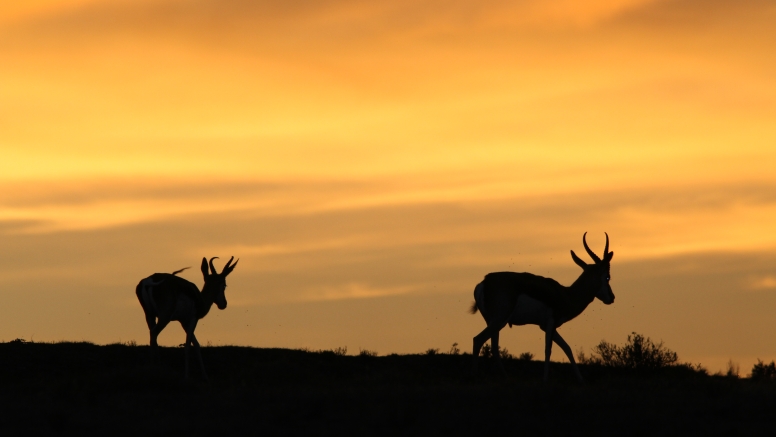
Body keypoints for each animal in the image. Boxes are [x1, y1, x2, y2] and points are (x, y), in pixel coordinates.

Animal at [470, 232, 616, 382]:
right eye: (607, 277)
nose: (612, 298)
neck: (566, 295)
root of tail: (485, 282)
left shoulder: (546, 326)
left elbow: (567, 348)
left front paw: (580, 378)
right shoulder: (550, 323)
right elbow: (548, 349)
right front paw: (545, 378)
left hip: (493, 322)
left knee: (493, 347)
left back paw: (506, 377)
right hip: (499, 320)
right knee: (478, 339)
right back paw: (475, 375)